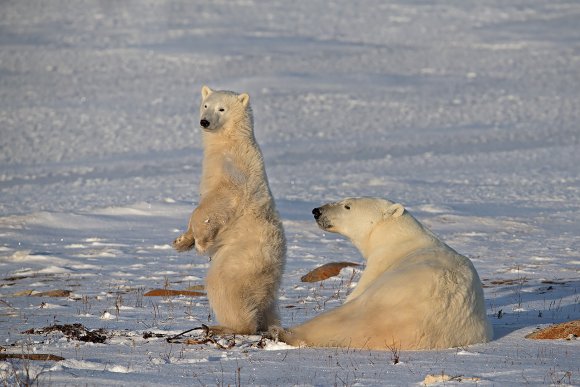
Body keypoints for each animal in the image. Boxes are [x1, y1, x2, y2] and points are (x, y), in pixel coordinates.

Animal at [174, 86, 288, 334]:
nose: (205, 122)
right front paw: (181, 242)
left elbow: (215, 203)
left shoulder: (234, 170)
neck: (230, 141)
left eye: (222, 109)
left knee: (224, 286)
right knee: (268, 304)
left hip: (240, 257)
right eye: (206, 105)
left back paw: (225, 326)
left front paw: (200, 241)